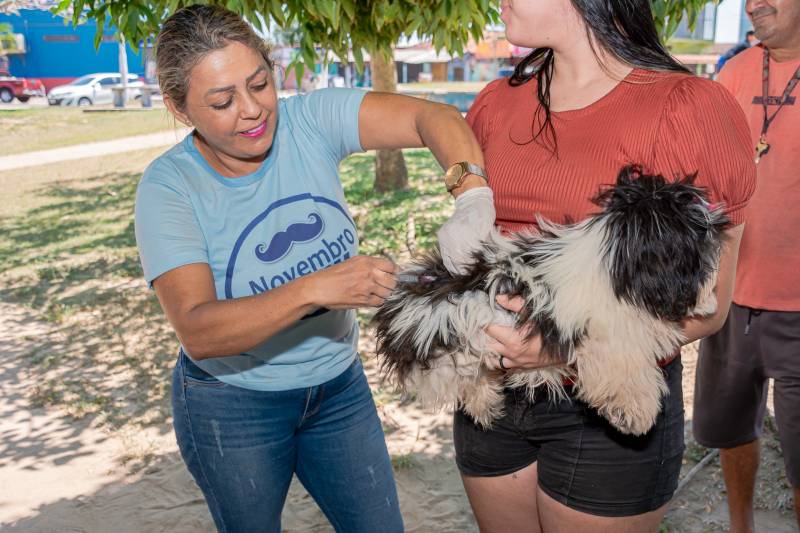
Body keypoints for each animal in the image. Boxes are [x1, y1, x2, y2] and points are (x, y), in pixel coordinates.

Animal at [373, 166, 729, 436]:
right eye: (695, 231)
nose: (718, 234)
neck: (610, 259)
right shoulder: (604, 335)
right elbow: (624, 368)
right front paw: (633, 411)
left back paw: (485, 402)